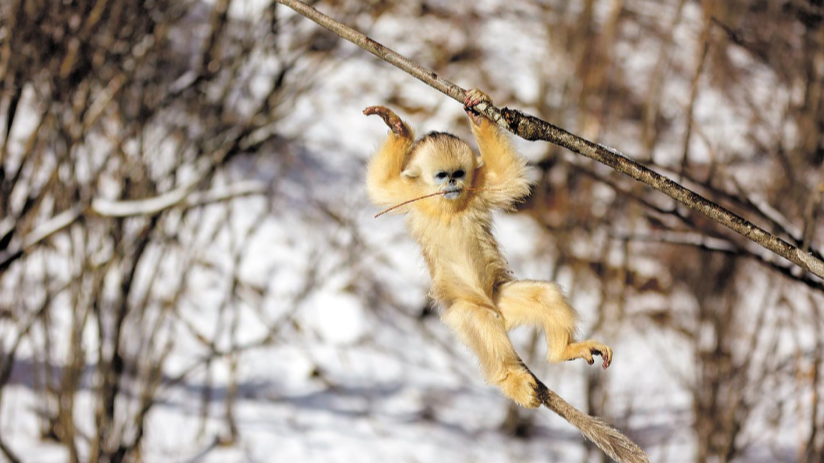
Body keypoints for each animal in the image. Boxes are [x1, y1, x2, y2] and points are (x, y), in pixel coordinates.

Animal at [362, 89, 612, 408]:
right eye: (442, 175)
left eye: (458, 173)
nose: (453, 182)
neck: (449, 208)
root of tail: (495, 308)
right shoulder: (409, 195)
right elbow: (380, 185)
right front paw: (395, 126)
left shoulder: (479, 188)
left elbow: (507, 177)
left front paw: (477, 109)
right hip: (467, 309)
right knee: (480, 322)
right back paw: (512, 380)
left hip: (501, 297)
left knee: (545, 296)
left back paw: (564, 350)